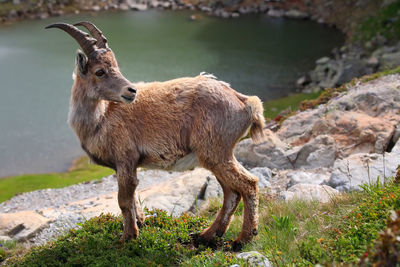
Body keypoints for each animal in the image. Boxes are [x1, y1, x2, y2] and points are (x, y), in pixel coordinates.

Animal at [46, 21, 266, 249]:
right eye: (99, 71)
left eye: (114, 67)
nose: (131, 91)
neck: (102, 118)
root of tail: (245, 102)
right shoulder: (126, 166)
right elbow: (133, 197)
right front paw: (140, 223)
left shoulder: (125, 158)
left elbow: (123, 201)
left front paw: (127, 238)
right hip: (216, 156)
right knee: (231, 192)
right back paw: (206, 235)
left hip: (216, 152)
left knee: (248, 184)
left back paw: (243, 238)